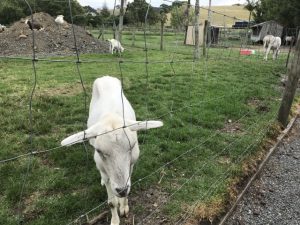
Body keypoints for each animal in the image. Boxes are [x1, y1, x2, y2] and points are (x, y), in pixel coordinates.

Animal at [61, 76, 163, 225]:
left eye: (132, 146)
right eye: (98, 151)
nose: (121, 190)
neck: (111, 116)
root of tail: (106, 77)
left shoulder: (131, 165)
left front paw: (124, 206)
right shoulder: (104, 168)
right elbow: (111, 202)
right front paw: (115, 219)